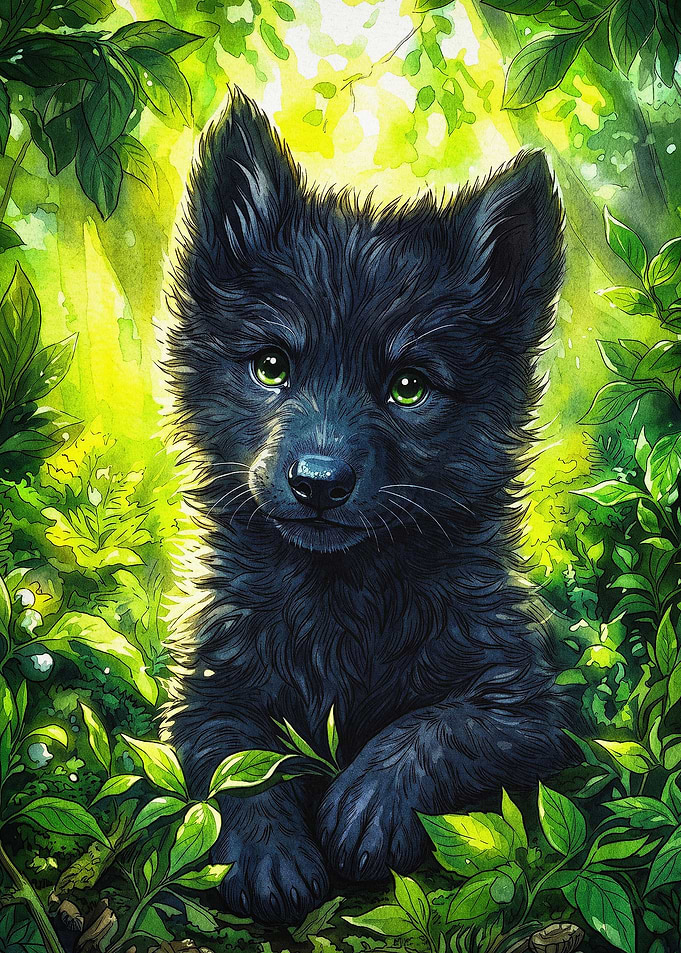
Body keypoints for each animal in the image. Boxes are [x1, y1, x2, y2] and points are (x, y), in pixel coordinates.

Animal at [162, 87, 572, 926]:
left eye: (408, 386)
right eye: (272, 367)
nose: (318, 481)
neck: (340, 599)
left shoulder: (525, 702)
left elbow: (442, 724)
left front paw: (368, 804)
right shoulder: (206, 687)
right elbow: (233, 756)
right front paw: (271, 854)